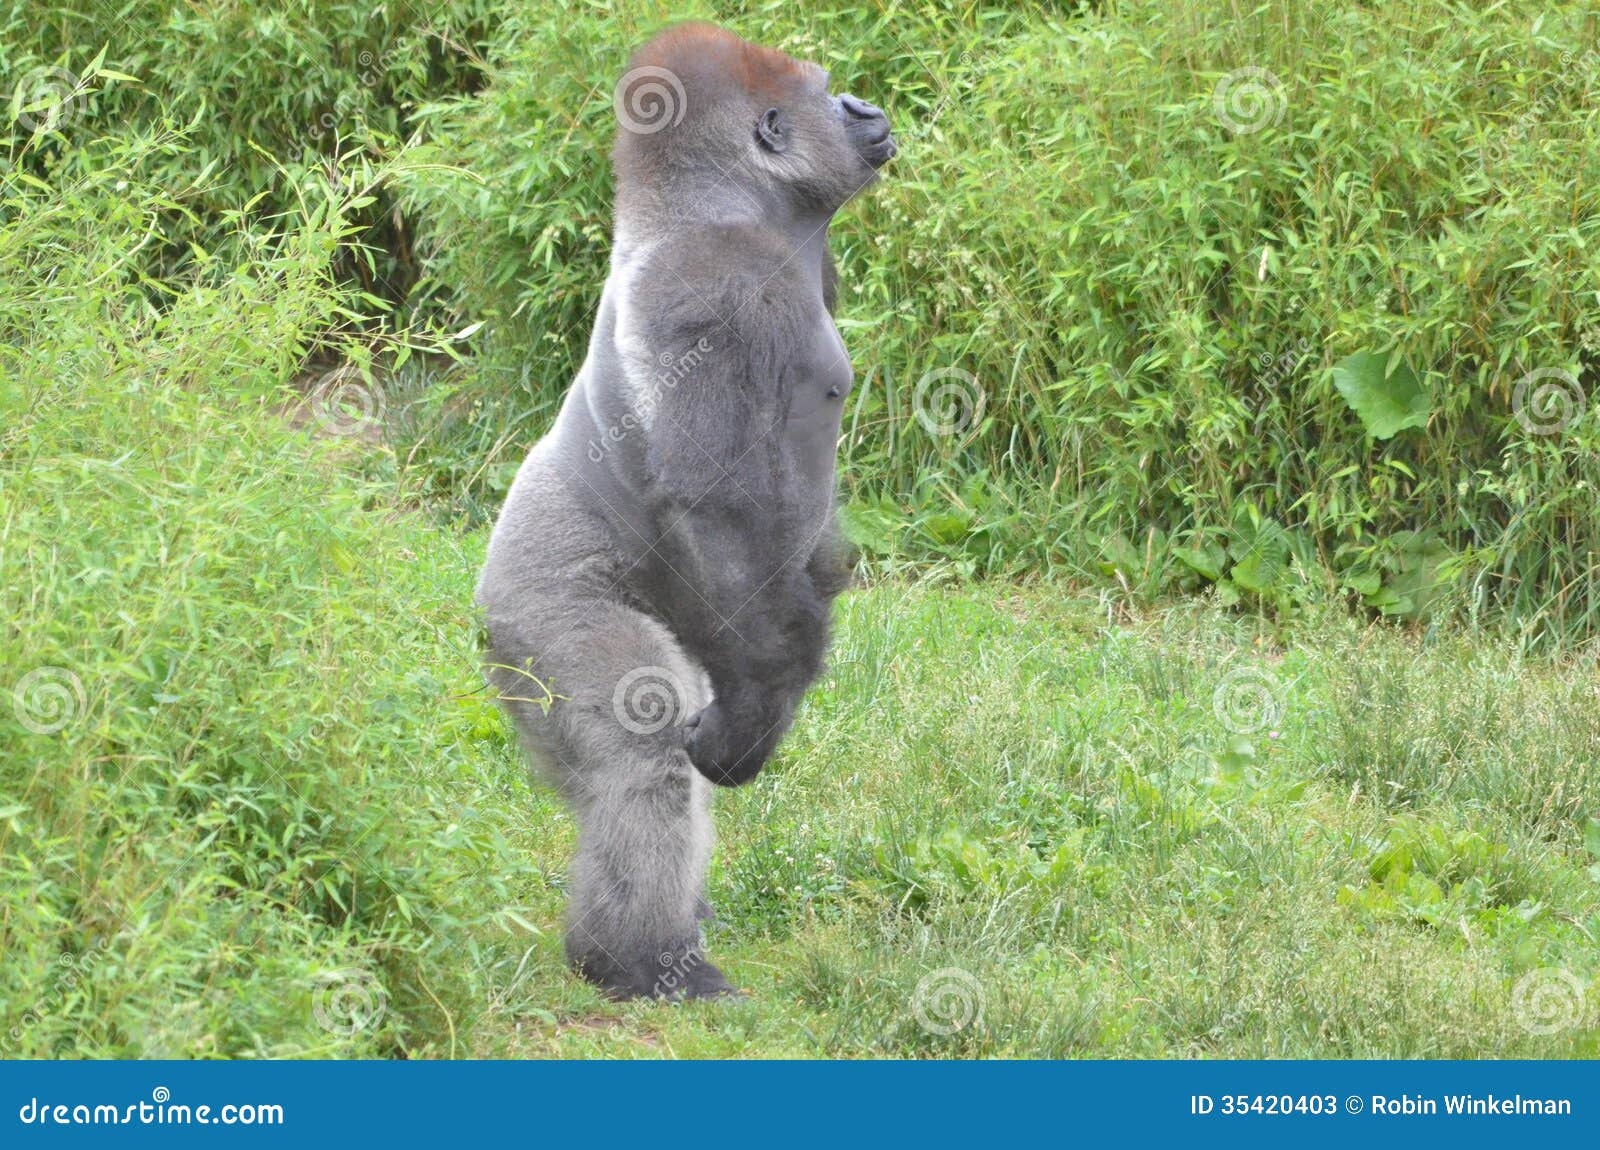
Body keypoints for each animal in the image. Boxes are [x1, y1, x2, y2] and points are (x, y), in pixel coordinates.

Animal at [475, 23, 895, 1000]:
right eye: (825, 91)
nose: (864, 105)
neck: (728, 204)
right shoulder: (720, 286)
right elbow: (724, 507)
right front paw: (759, 716)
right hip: (526, 609)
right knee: (644, 750)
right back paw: (638, 961)